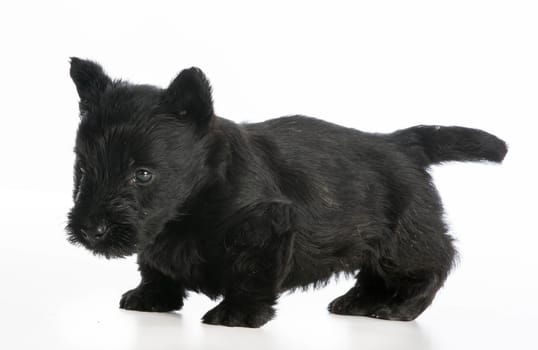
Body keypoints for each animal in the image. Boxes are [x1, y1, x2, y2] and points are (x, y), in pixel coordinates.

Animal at [65, 57, 504, 328]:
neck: (193, 200)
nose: (90, 230)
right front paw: (151, 296)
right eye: (83, 169)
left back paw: (400, 308)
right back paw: (357, 303)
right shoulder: (155, 234)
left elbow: (251, 275)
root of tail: (401, 143)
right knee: (373, 273)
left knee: (434, 263)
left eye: (142, 174)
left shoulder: (266, 227)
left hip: (404, 239)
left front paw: (238, 314)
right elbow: (154, 264)